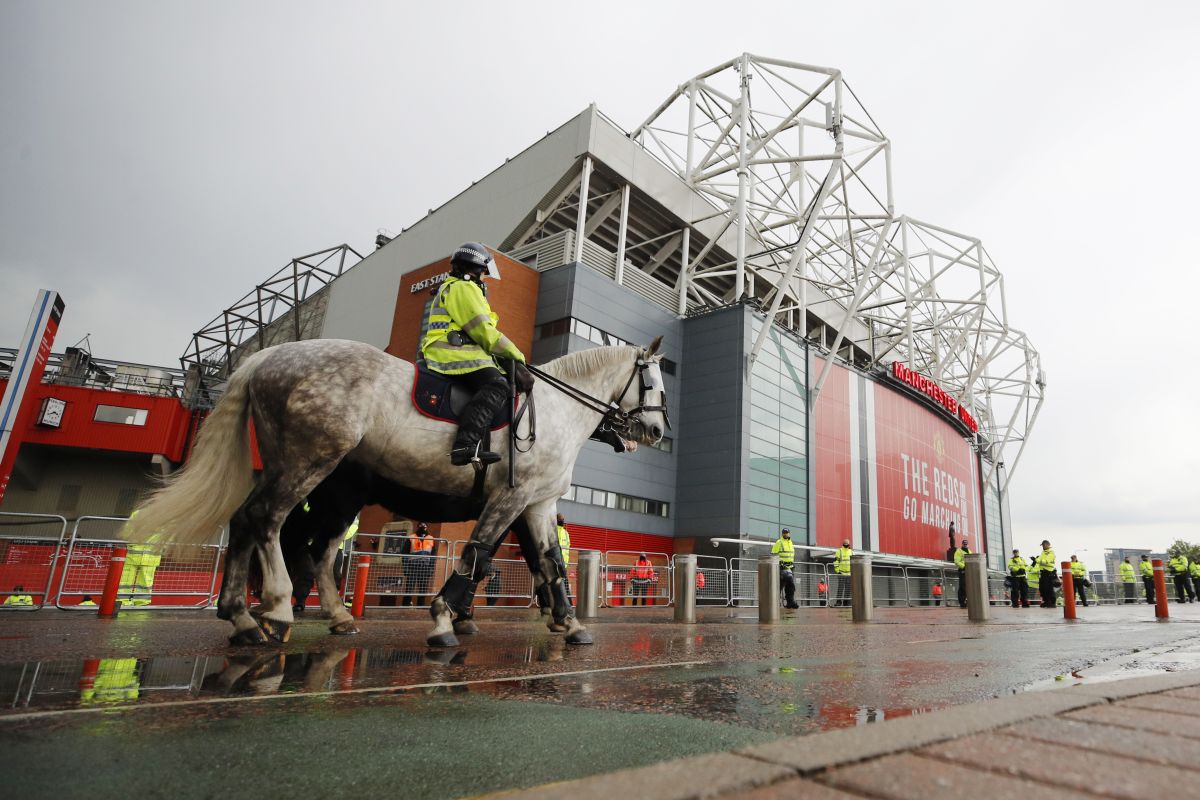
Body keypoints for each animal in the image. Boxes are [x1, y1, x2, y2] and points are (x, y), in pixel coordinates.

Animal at [127, 335, 672, 642]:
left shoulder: (537, 504)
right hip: (311, 462)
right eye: (653, 384)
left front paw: (570, 623)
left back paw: (257, 617)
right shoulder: (512, 498)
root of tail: (269, 357)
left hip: (322, 485)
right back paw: (277, 609)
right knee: (270, 522)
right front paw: (445, 619)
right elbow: (478, 554)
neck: (559, 409)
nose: (656, 431)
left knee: (283, 534)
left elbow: (550, 563)